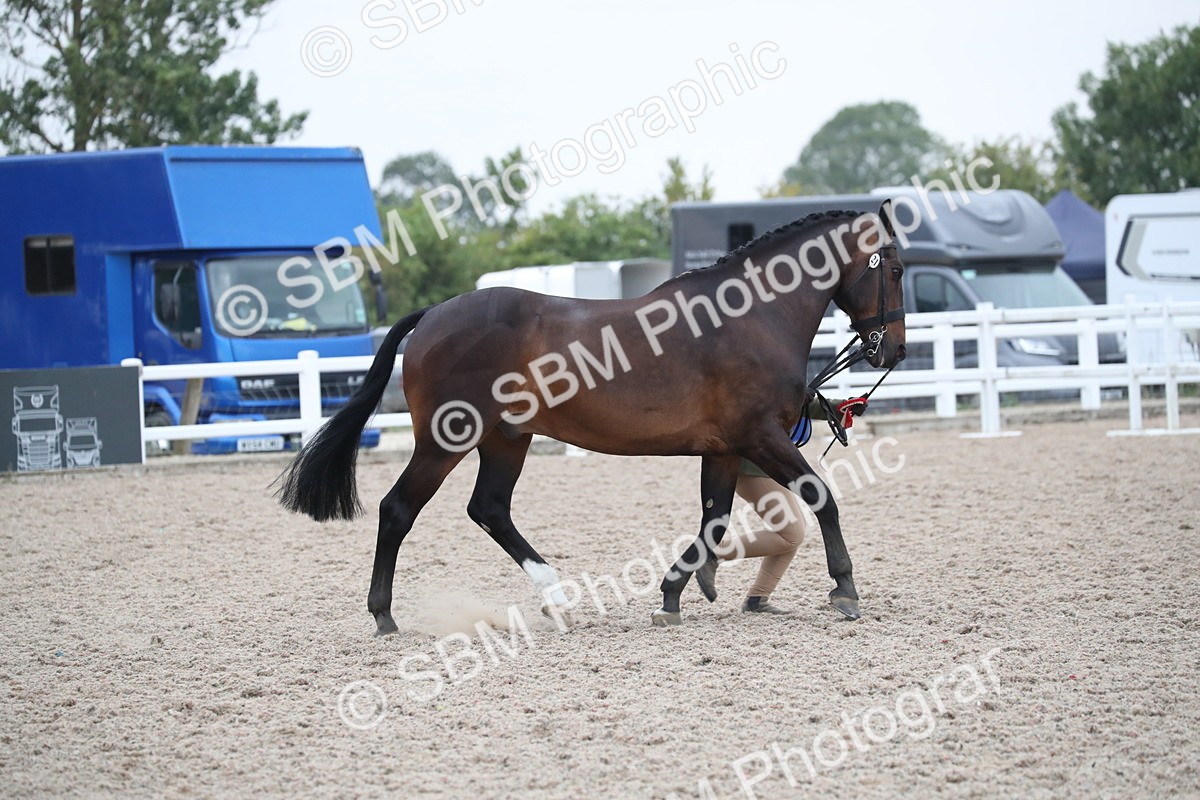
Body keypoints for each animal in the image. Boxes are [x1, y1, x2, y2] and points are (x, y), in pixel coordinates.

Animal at [275, 204, 907, 634]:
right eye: (897, 269)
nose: (893, 351)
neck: (751, 316)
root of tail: (433, 314)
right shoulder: (762, 436)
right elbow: (822, 497)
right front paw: (845, 590)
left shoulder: (726, 447)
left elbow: (714, 519)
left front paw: (677, 593)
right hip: (445, 440)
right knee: (398, 510)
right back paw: (384, 617)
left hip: (507, 439)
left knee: (489, 509)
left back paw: (556, 599)